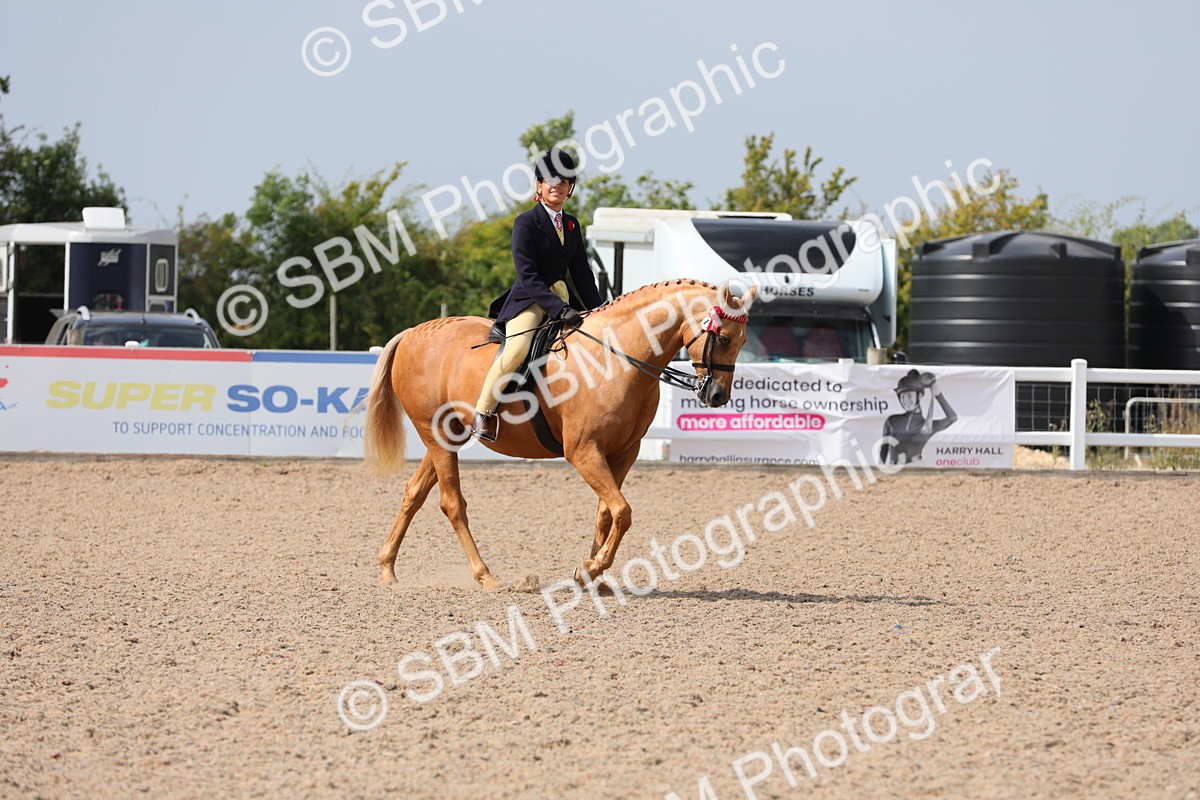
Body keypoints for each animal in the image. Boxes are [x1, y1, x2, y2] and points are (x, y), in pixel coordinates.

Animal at [363, 279, 758, 590]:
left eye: (741, 343)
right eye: (723, 339)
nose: (717, 396)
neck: (615, 358)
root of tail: (411, 334)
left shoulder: (624, 453)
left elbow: (607, 513)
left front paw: (590, 575)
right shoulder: (583, 452)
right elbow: (623, 511)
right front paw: (591, 568)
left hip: (448, 438)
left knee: (414, 493)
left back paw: (387, 568)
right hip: (435, 435)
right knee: (452, 504)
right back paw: (485, 576)